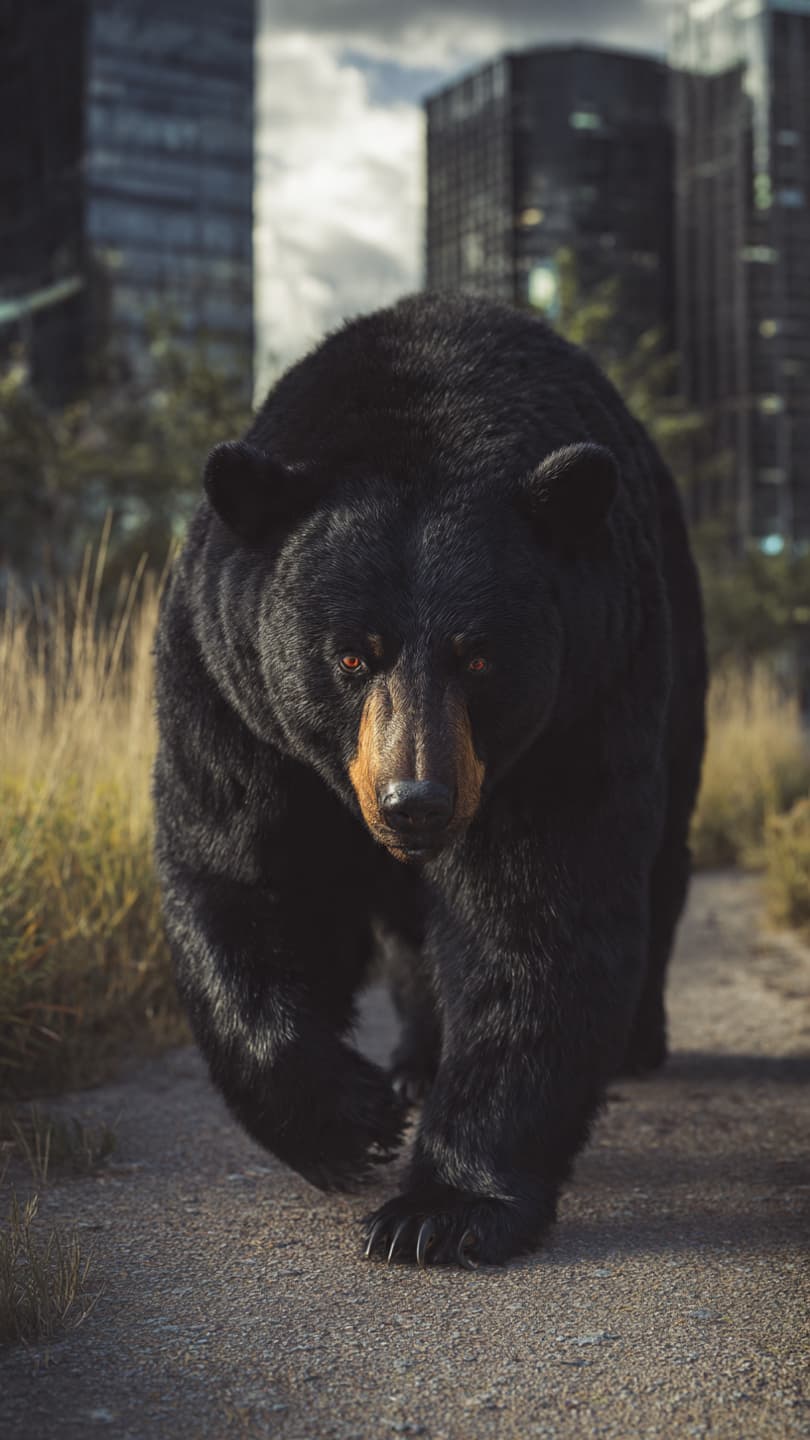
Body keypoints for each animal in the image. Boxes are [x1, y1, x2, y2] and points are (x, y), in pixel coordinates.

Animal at [152, 292, 706, 1269]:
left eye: (478, 655)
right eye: (349, 653)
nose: (417, 802)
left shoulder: (580, 704)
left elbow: (537, 913)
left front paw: (441, 1209)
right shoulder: (229, 696)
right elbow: (241, 878)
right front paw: (349, 1120)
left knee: (663, 860)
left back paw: (638, 1040)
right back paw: (412, 1057)